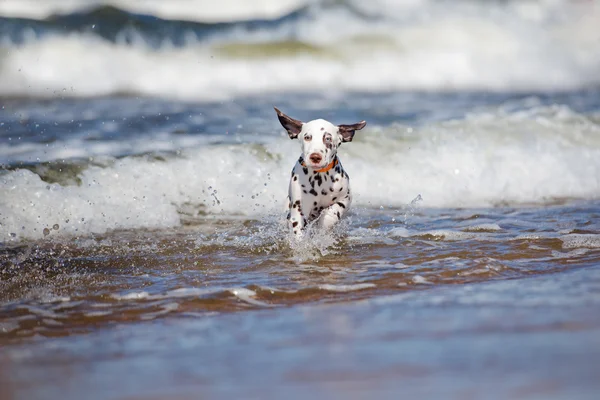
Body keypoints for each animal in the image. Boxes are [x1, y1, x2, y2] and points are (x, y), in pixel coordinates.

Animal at [276, 108, 368, 236]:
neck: (319, 179)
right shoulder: (298, 210)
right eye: (307, 137)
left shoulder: (345, 199)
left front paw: (325, 224)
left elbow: (332, 212)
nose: (315, 157)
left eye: (328, 138)